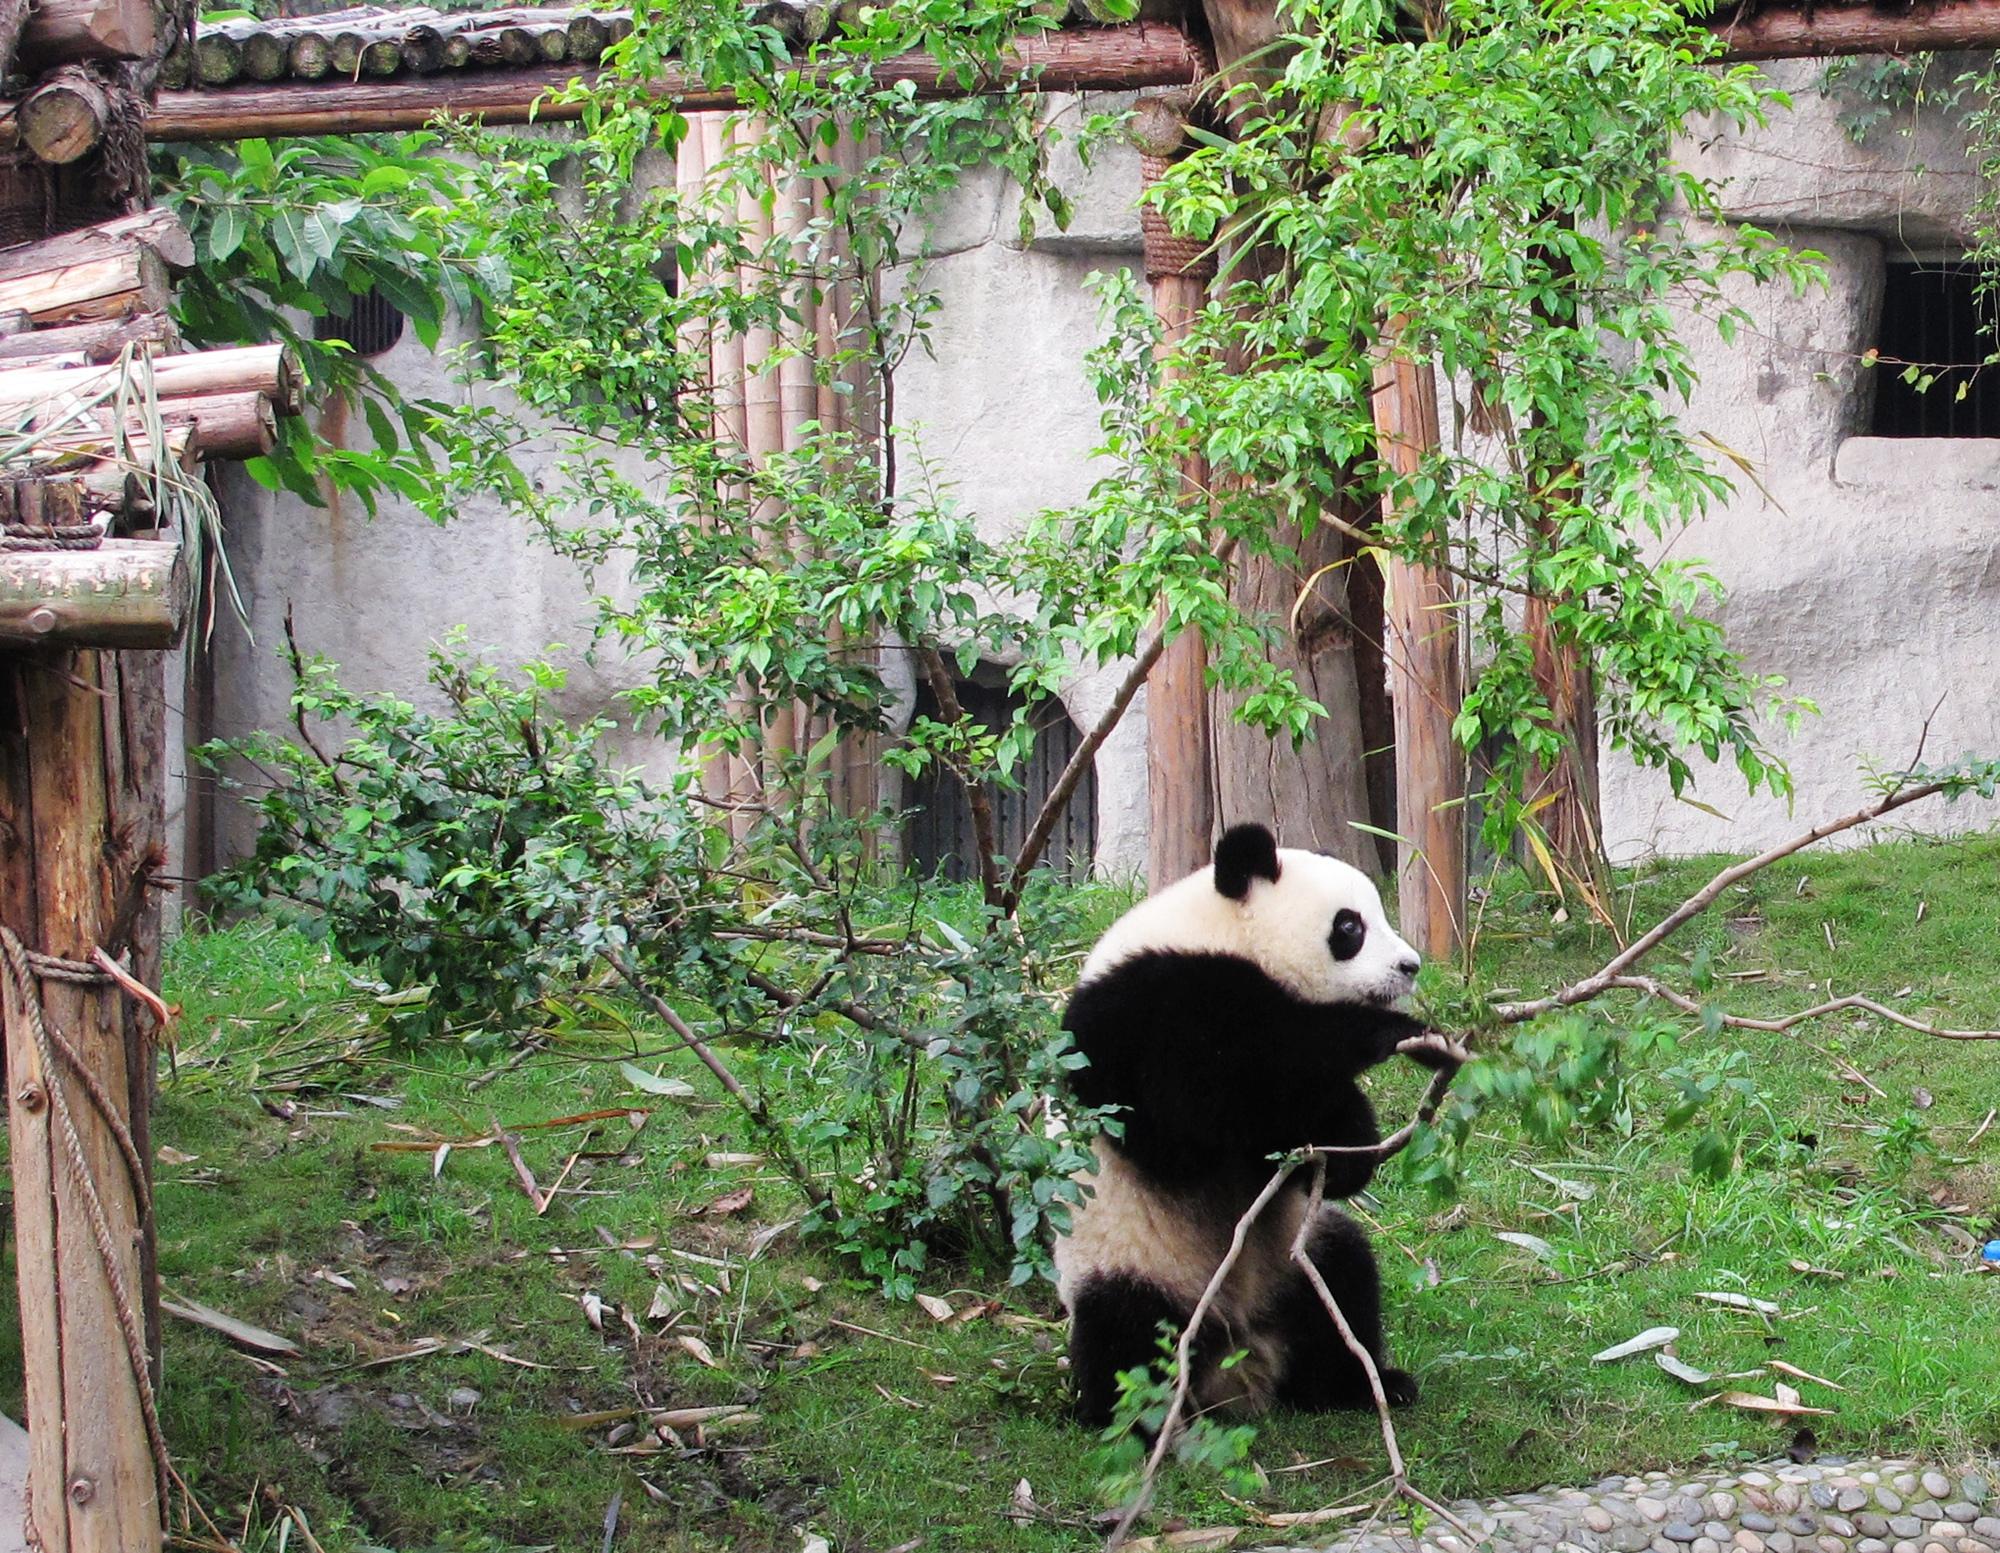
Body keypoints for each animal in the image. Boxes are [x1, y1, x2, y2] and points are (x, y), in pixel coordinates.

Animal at [1048, 824, 1456, 1432]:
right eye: (1350, 926)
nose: (1410, 966)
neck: (1220, 931)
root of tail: (1241, 1369)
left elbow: (1316, 1160)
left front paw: (1355, 1133)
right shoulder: (1145, 1008)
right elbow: (1194, 1113)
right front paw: (1386, 1032)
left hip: (1295, 1257)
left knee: (1344, 1277)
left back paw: (1363, 1385)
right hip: (1133, 1262)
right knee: (1128, 1335)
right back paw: (1142, 1423)